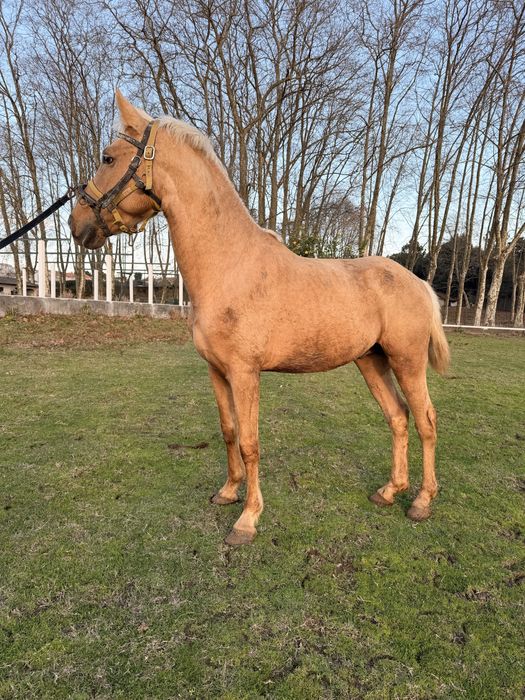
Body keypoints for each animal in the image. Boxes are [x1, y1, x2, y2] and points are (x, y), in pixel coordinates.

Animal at [69, 91, 450, 546]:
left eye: (108, 158)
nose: (76, 223)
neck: (228, 265)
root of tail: (418, 283)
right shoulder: (217, 371)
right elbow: (229, 431)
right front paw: (228, 492)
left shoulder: (245, 372)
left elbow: (251, 443)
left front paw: (247, 519)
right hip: (371, 361)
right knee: (398, 417)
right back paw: (390, 491)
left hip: (407, 362)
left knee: (426, 421)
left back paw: (422, 501)